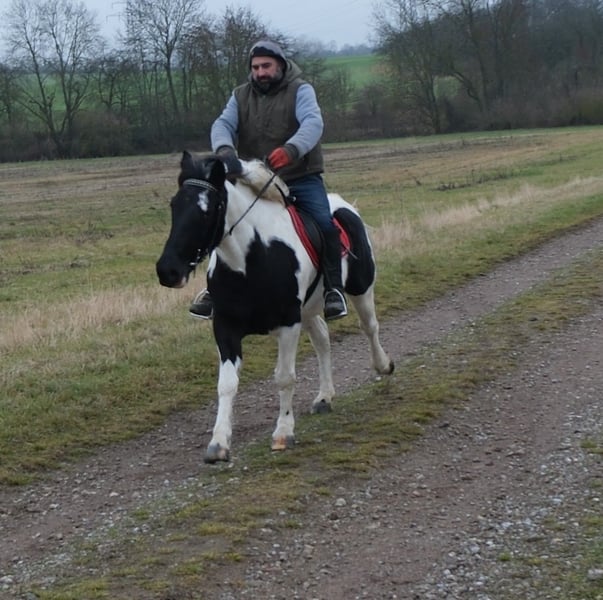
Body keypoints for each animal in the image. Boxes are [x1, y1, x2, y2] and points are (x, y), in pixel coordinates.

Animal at [156, 151, 394, 463]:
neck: (252, 259)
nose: (167, 271)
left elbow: (284, 377)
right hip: (309, 310)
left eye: (206, 210)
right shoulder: (225, 326)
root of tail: (344, 206)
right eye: (174, 205)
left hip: (361, 288)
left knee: (370, 327)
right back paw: (324, 396)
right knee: (323, 340)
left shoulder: (288, 323)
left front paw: (283, 432)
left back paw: (383, 365)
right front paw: (218, 443)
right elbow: (226, 384)